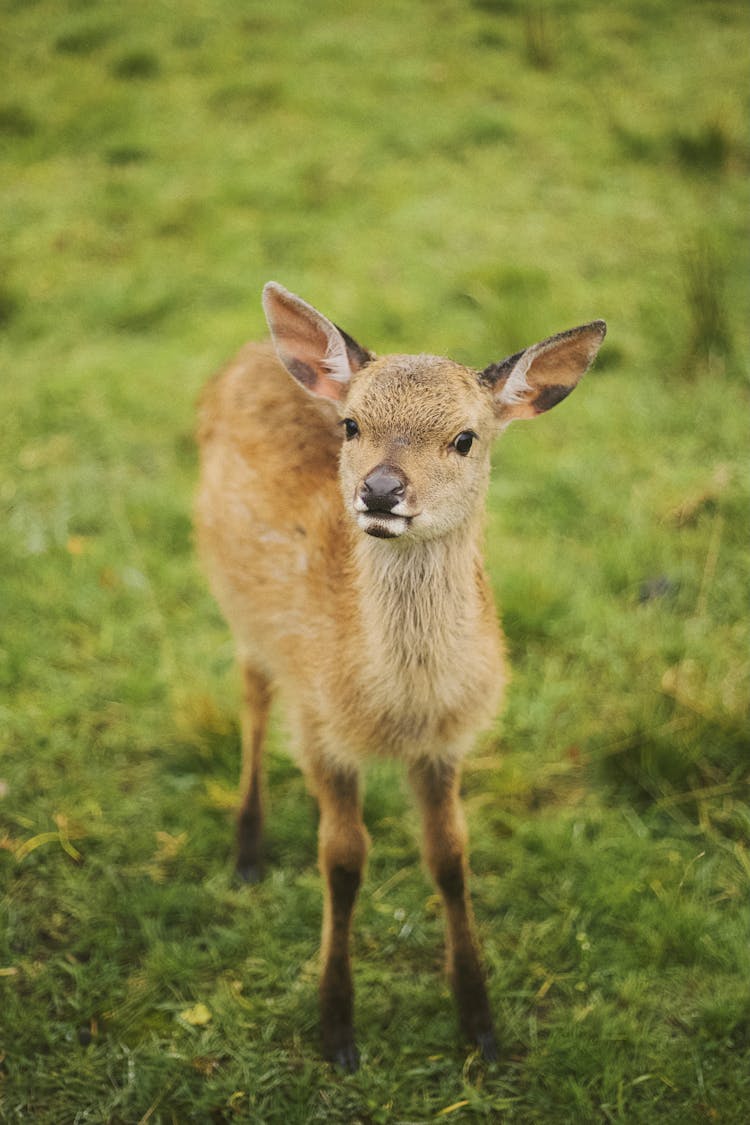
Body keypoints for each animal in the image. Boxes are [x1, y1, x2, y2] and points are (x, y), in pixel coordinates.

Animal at [196, 283, 607, 1071]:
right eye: (352, 424)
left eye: (466, 437)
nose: (381, 490)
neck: (396, 708)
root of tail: (250, 353)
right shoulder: (319, 727)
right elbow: (342, 860)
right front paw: (337, 1030)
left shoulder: (447, 743)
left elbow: (449, 857)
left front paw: (480, 1024)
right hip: (238, 605)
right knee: (253, 693)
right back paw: (246, 853)